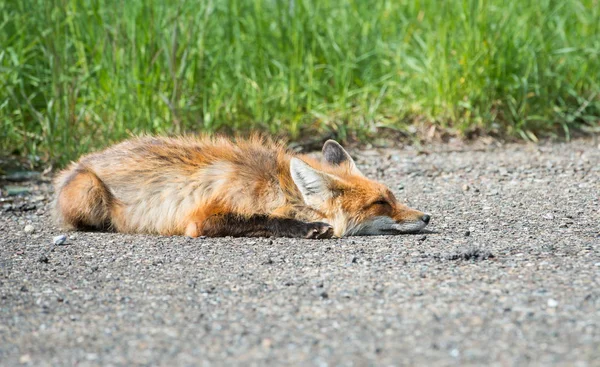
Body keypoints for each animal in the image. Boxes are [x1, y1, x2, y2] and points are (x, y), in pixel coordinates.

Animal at [54, 137, 432, 240]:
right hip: (88, 194)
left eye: (393, 197)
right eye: (381, 203)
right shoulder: (199, 221)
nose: (428, 217)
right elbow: (261, 219)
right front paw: (307, 228)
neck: (277, 189)